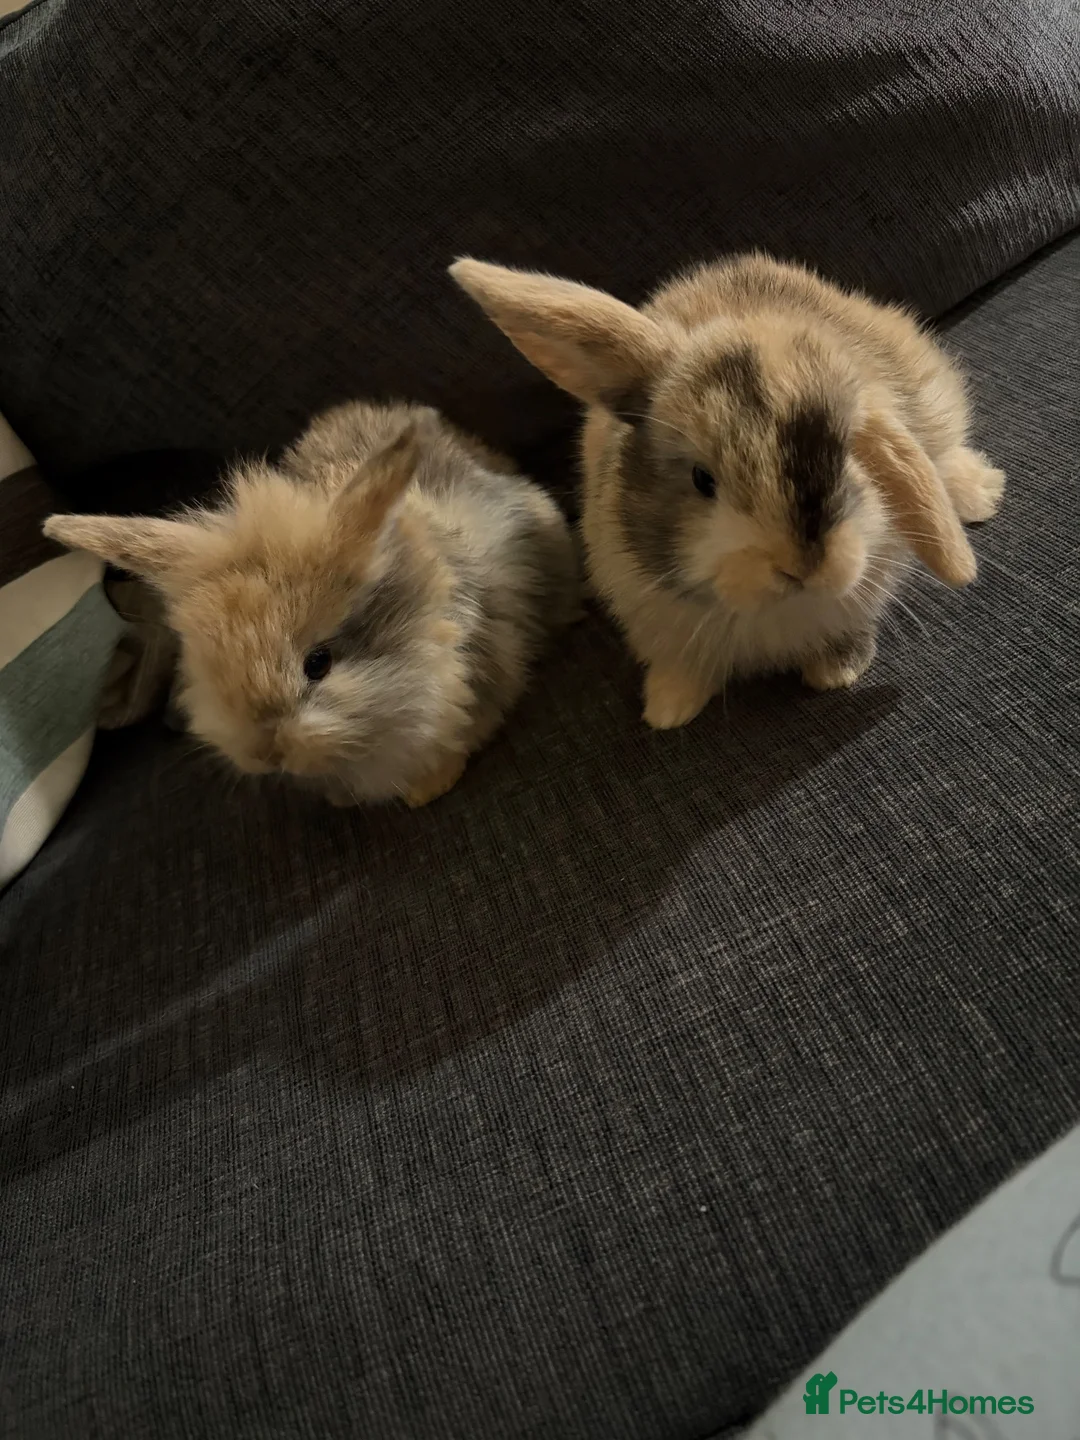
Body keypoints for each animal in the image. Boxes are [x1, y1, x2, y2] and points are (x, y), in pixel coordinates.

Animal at [451, 251, 1005, 729]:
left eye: (847, 453)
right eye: (702, 479)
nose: (800, 567)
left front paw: (835, 673)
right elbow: (681, 667)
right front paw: (667, 710)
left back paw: (982, 495)